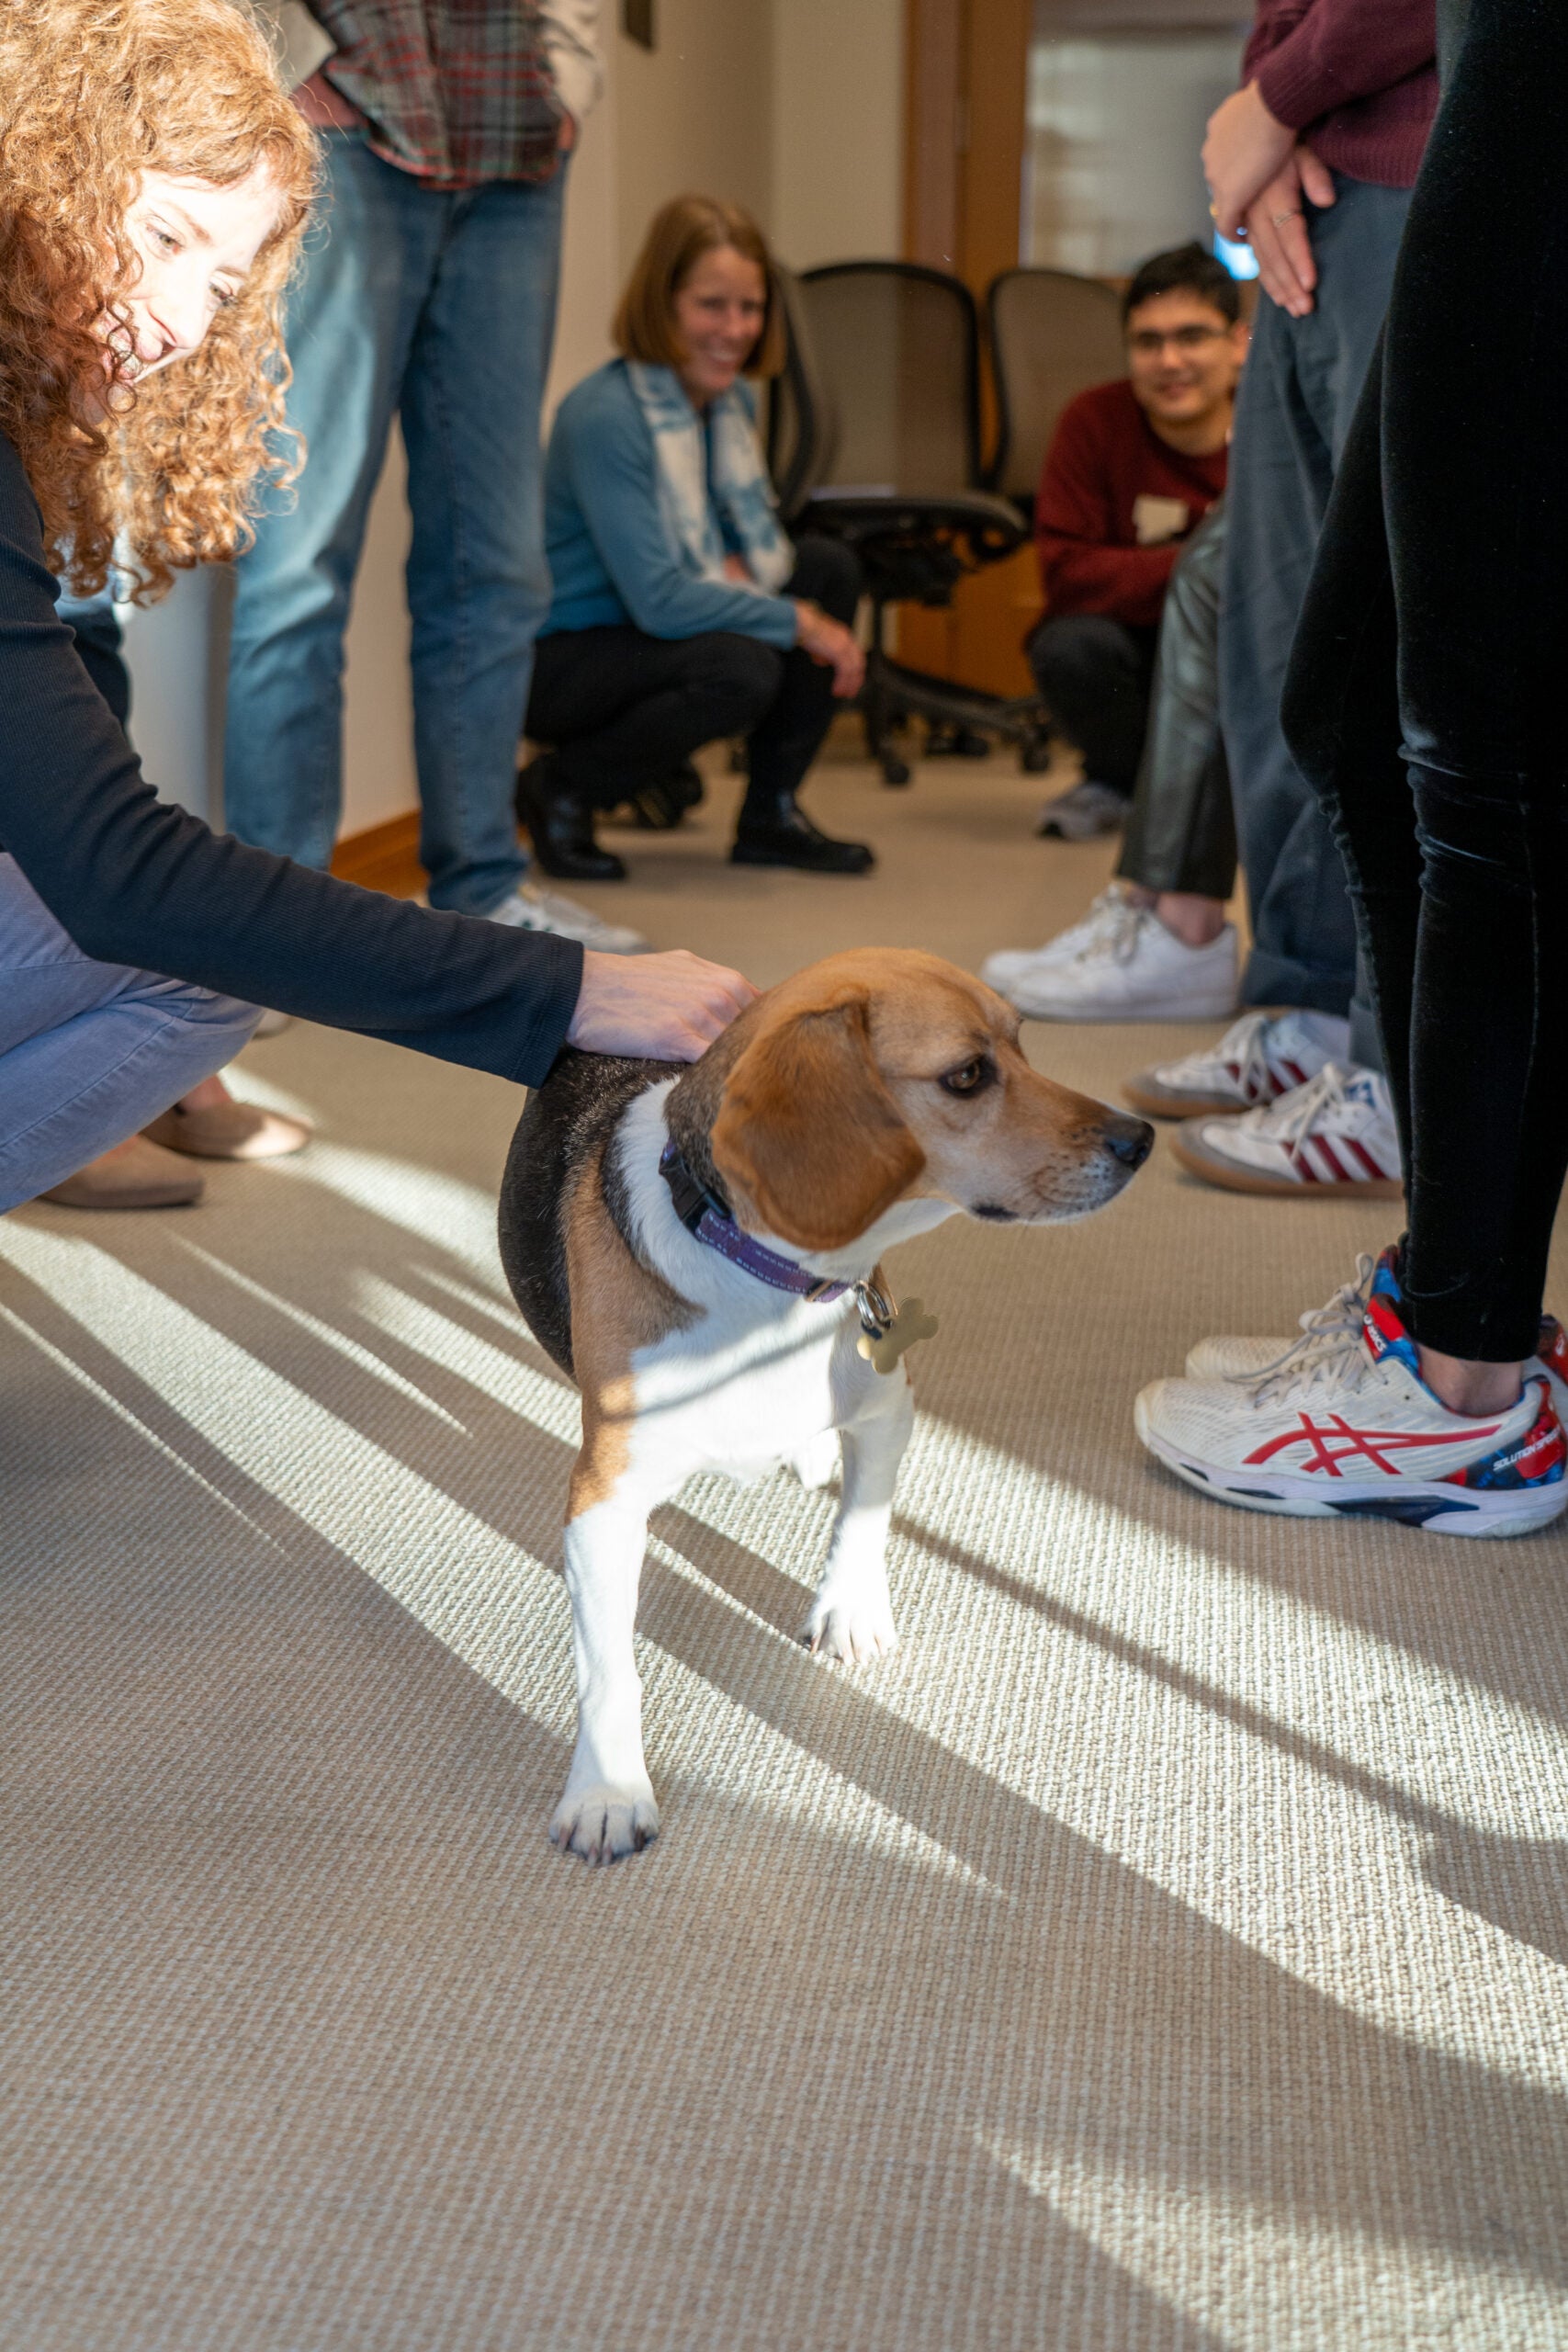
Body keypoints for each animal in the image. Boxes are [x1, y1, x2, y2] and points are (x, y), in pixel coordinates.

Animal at [502, 945, 1152, 1862]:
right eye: (967, 1075)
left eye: (1024, 1046)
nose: (1140, 1139)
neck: (767, 1284)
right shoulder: (603, 1502)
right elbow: (608, 1669)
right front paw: (606, 1791)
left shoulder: (888, 1409)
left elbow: (862, 1518)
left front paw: (847, 1609)